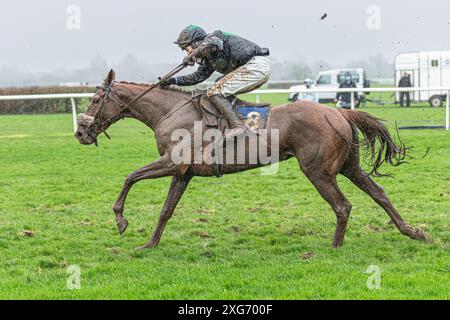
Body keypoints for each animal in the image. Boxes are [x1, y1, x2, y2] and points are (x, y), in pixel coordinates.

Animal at [74, 70, 426, 250]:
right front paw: (149, 244)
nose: (80, 133)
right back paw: (413, 232)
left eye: (95, 99)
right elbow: (166, 210)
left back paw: (335, 246)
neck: (170, 112)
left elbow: (130, 176)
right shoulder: (182, 172)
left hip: (318, 171)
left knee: (343, 206)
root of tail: (339, 111)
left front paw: (121, 220)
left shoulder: (172, 163)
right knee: (379, 193)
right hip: (349, 166)